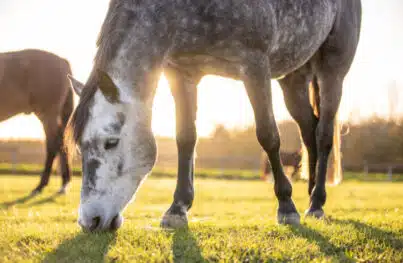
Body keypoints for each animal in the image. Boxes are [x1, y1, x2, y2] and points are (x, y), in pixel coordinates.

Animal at [0, 49, 74, 195]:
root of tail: (63, 61)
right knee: (61, 143)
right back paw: (64, 184)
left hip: (48, 115)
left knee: (53, 145)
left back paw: (40, 186)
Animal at [66, 0, 362, 231]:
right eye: (80, 147)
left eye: (111, 142)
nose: (89, 221)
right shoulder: (181, 73)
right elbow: (186, 138)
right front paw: (177, 209)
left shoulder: (254, 65)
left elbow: (268, 136)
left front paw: (287, 207)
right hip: (293, 78)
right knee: (309, 131)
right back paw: (311, 193)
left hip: (332, 69)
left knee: (323, 134)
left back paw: (316, 203)